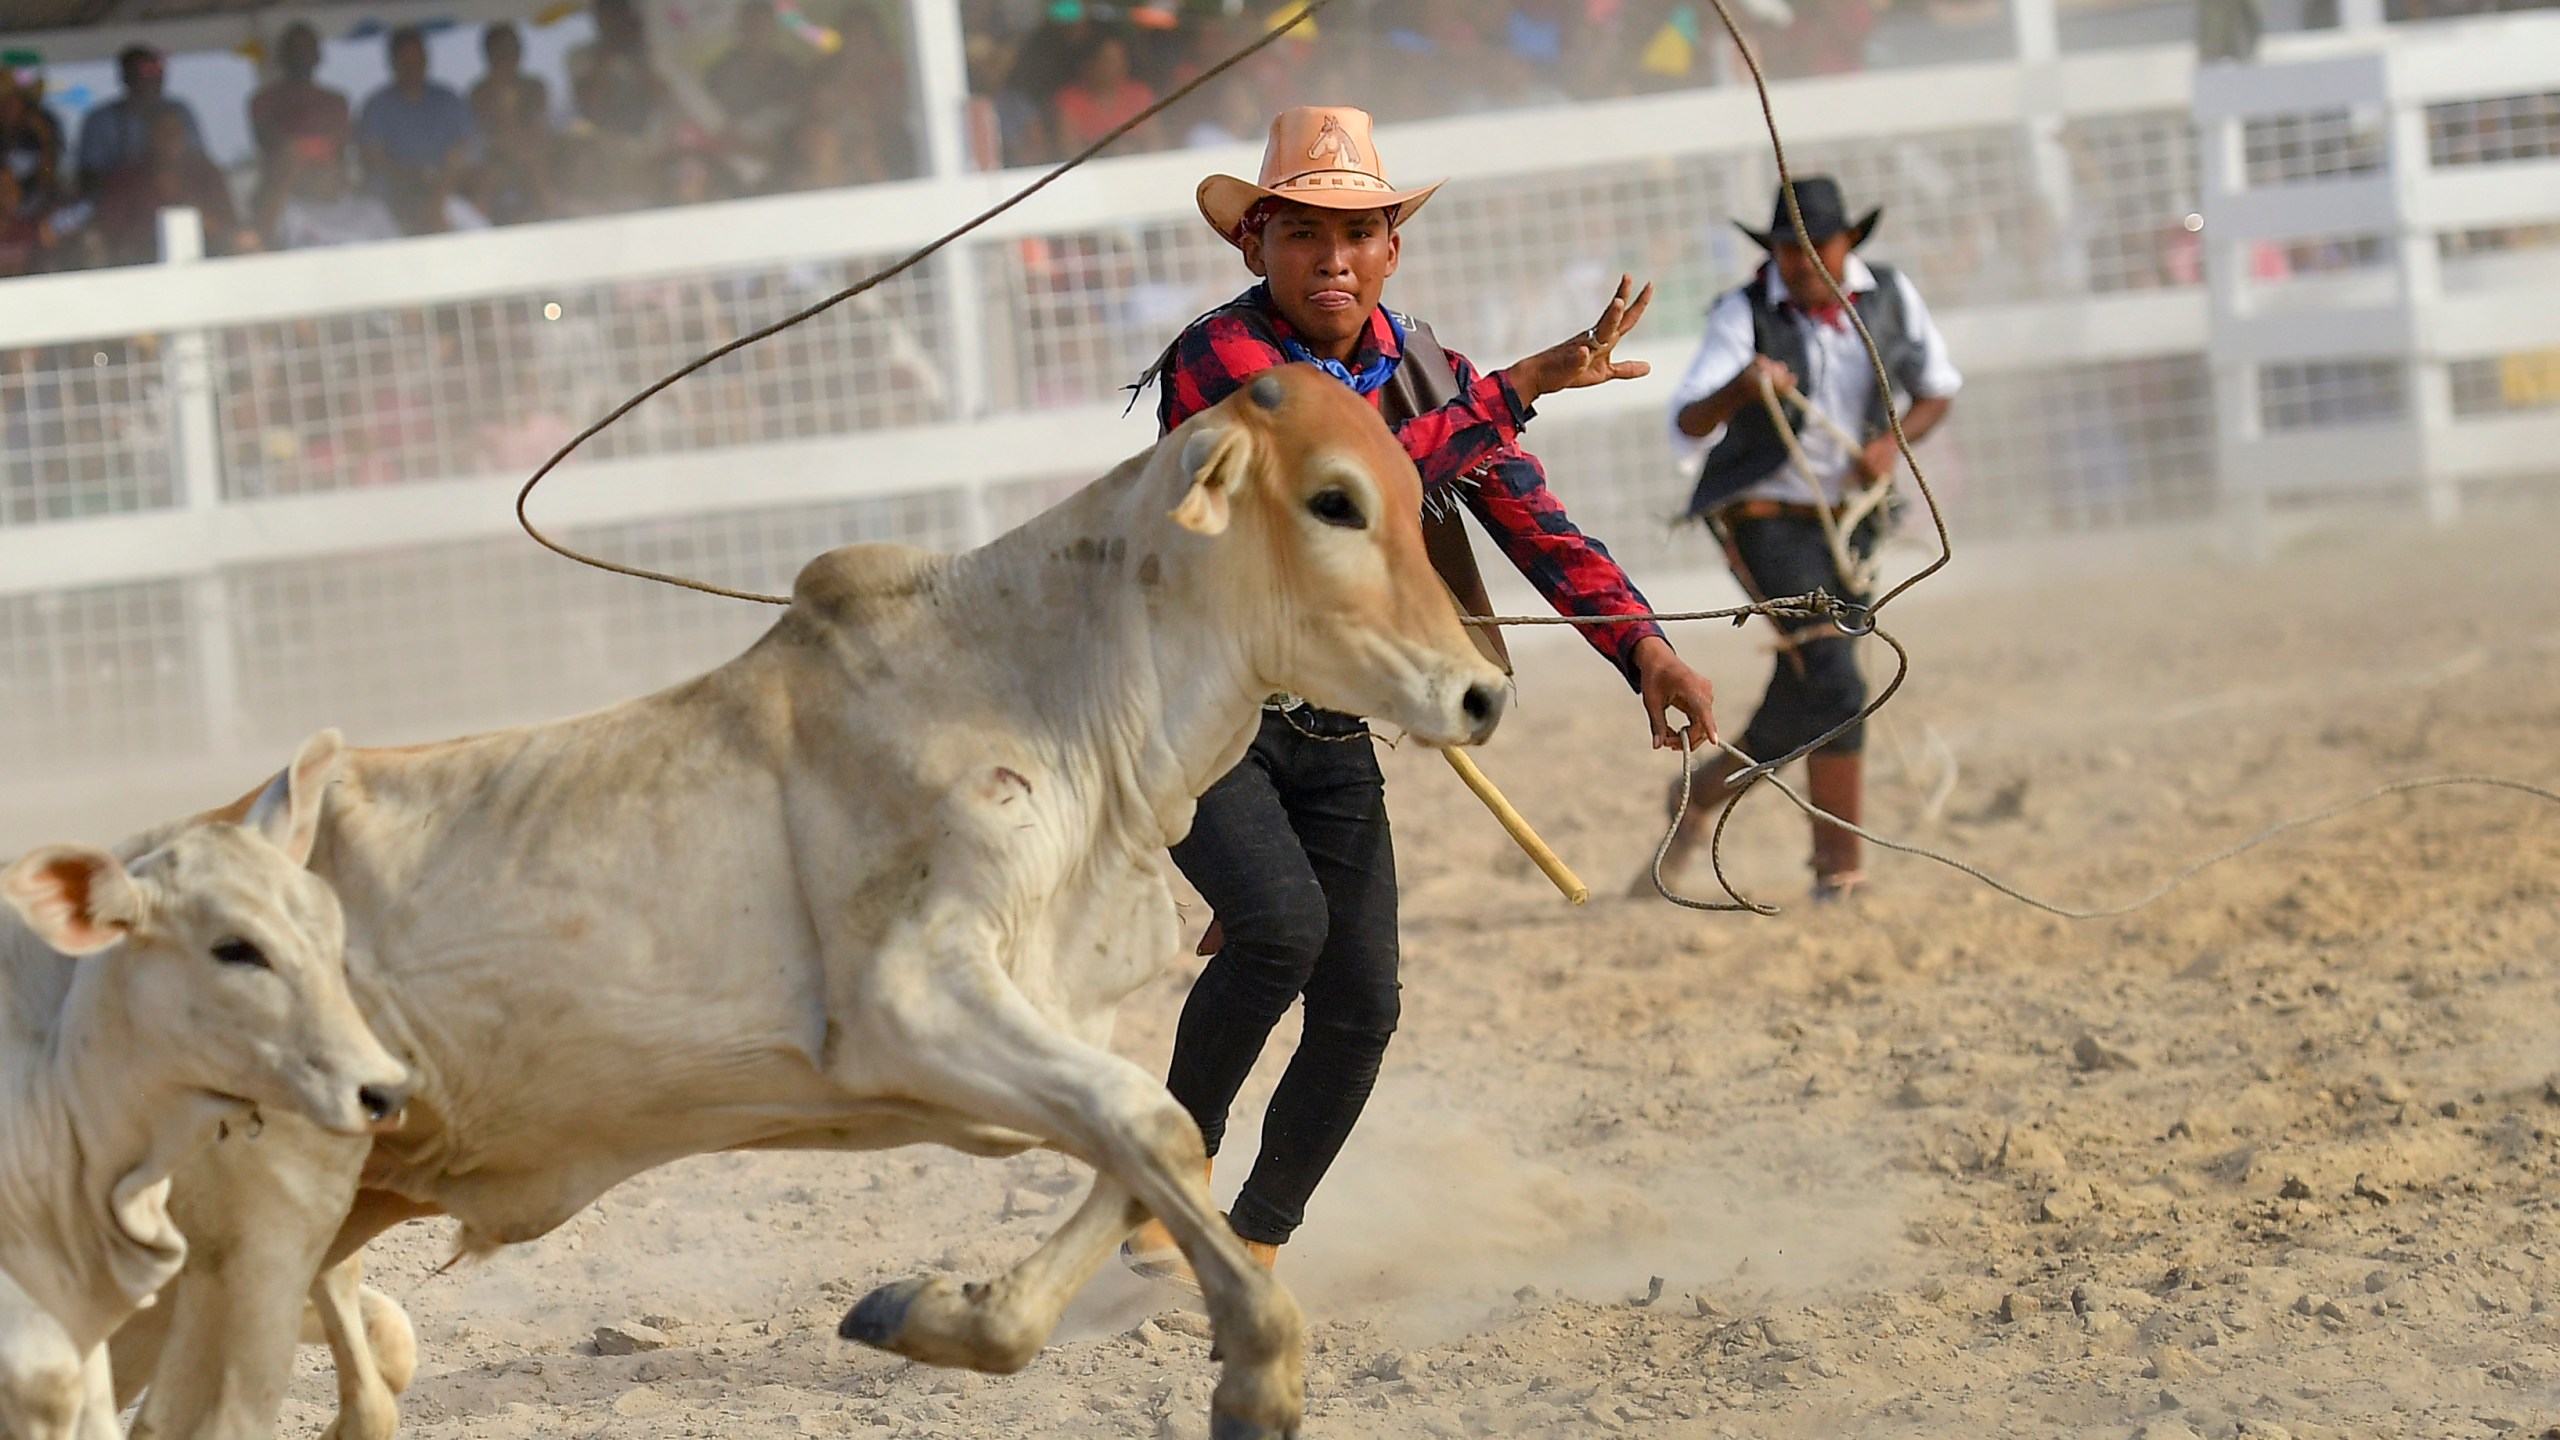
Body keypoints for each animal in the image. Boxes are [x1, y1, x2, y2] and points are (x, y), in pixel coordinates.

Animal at [120, 366, 1505, 1434]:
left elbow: (1150, 1142)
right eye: (1334, 501)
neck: (1045, 690)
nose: (1482, 694)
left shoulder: (1051, 1022)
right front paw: (1259, 1378)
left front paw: (937, 1315)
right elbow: (1154, 1128)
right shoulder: (913, 1001)